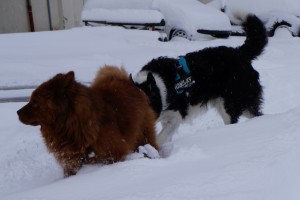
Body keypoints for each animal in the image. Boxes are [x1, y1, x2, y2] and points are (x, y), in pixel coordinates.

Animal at [133, 14, 268, 147]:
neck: (159, 86)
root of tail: (239, 52)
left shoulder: (176, 116)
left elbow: (160, 139)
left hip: (230, 105)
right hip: (242, 103)